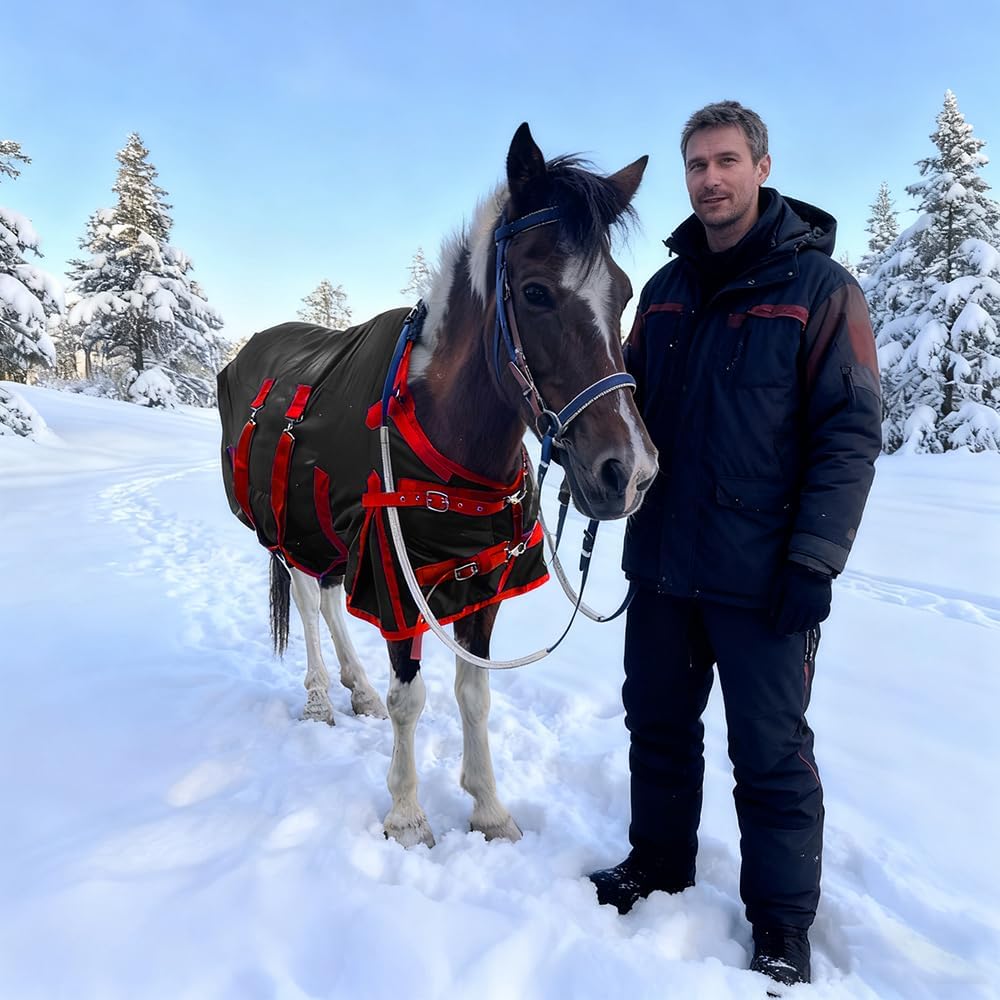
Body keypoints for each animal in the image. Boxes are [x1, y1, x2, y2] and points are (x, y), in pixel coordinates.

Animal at [217, 123, 658, 848]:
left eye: (622, 294)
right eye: (535, 292)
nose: (631, 472)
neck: (451, 446)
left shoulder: (481, 580)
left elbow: (474, 695)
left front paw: (489, 809)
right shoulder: (396, 578)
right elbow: (411, 697)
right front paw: (407, 816)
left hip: (333, 536)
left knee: (330, 599)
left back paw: (356, 688)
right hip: (289, 532)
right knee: (308, 602)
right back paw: (321, 696)